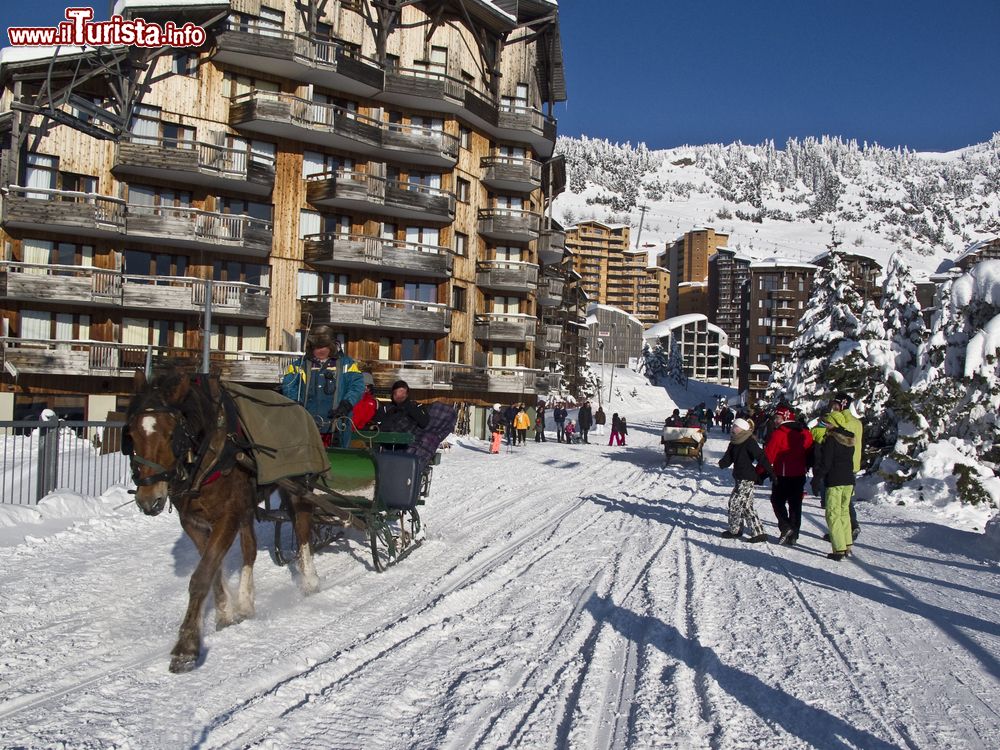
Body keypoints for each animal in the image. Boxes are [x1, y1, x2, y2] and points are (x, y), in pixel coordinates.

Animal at [126, 370, 320, 676]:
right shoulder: (193, 522)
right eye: (132, 433)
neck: (207, 453)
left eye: (172, 434)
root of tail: (301, 408)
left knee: (302, 528)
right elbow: (214, 569)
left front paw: (186, 648)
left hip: (297, 486)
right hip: (247, 507)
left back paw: (310, 579)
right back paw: (246, 601)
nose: (149, 499)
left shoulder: (227, 516)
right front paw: (226, 613)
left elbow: (201, 576)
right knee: (250, 549)